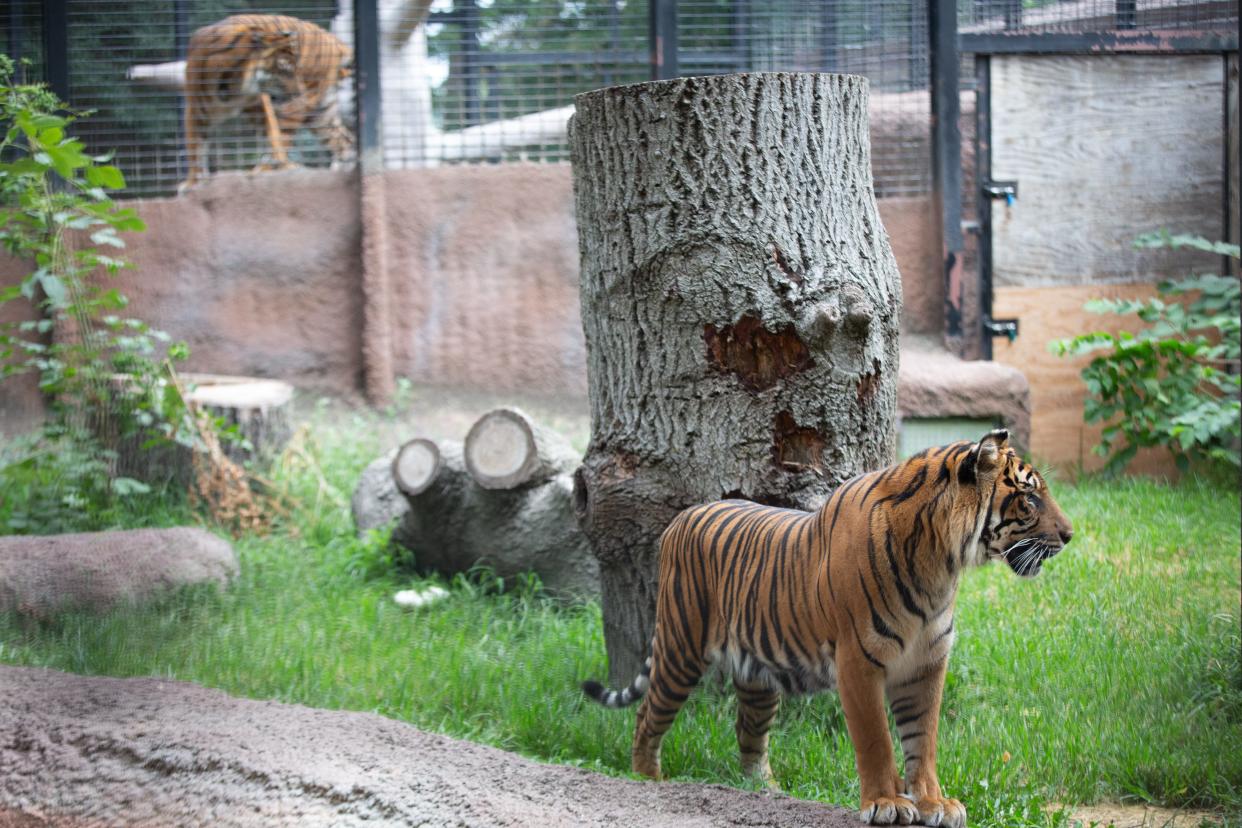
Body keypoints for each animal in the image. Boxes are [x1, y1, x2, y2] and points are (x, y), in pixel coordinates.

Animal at [181, 14, 355, 191]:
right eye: (284, 69)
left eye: (296, 68)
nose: (299, 93)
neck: (232, 85)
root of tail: (332, 39)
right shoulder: (196, 110)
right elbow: (194, 146)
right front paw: (193, 182)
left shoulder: (259, 104)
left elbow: (272, 135)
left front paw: (280, 166)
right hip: (320, 115)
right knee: (346, 143)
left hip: (294, 110)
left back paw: (266, 170)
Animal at [586, 431, 1073, 824]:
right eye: (1030, 499)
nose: (1070, 535)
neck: (942, 563)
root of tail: (682, 517)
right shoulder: (859, 659)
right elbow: (877, 739)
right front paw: (887, 803)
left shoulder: (926, 663)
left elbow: (923, 741)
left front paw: (934, 803)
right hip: (680, 647)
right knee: (648, 714)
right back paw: (647, 777)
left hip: (757, 676)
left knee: (749, 732)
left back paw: (765, 791)